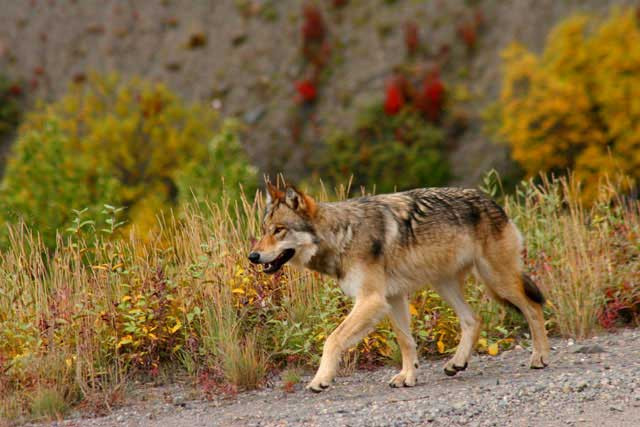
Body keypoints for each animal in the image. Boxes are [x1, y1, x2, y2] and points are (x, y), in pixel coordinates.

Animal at [248, 182, 548, 392]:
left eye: (279, 230)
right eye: (263, 229)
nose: (252, 256)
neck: (342, 234)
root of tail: (493, 201)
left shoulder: (371, 300)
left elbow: (332, 339)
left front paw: (320, 380)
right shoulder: (392, 298)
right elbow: (405, 340)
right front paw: (408, 376)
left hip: (498, 280)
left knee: (533, 307)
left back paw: (540, 358)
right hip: (444, 284)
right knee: (473, 320)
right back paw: (457, 363)